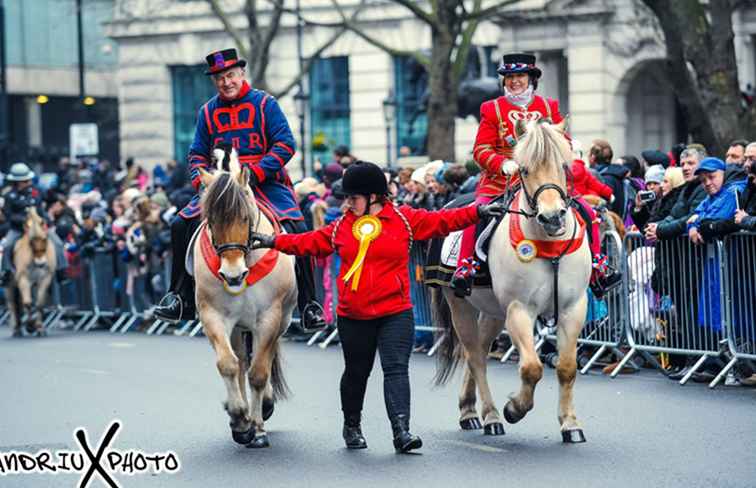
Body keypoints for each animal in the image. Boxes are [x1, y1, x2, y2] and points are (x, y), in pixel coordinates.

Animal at [4, 208, 56, 338]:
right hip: (10, 285)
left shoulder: (44, 279)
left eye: (45, 239)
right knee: (13, 304)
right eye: (31, 241)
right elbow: (27, 303)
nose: (41, 264)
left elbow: (39, 304)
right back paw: (17, 329)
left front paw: (39, 328)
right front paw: (30, 326)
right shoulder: (23, 279)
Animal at [193, 152, 296, 450]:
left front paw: (257, 428)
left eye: (243, 216)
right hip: (238, 328)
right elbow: (228, 364)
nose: (232, 275)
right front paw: (240, 419)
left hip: (279, 322)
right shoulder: (213, 316)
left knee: (262, 361)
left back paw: (264, 407)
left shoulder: (269, 318)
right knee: (239, 362)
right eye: (211, 220)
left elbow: (259, 372)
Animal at [432, 117, 592, 442]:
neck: (548, 245)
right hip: (461, 306)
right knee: (475, 356)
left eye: (564, 165)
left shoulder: (573, 308)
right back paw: (491, 416)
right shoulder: (519, 309)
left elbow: (567, 367)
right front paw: (514, 409)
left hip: (492, 312)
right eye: (524, 169)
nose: (553, 217)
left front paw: (570, 423)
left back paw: (470, 410)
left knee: (479, 351)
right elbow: (531, 367)